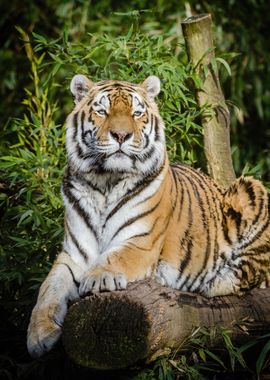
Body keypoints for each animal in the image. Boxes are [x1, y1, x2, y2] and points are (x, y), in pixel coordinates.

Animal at [26, 74, 270, 360]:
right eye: (102, 111)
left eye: (137, 113)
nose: (121, 135)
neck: (104, 182)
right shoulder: (74, 253)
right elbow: (48, 288)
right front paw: (39, 334)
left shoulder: (141, 242)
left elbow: (114, 257)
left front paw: (98, 278)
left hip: (251, 189)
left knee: (251, 273)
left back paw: (212, 282)